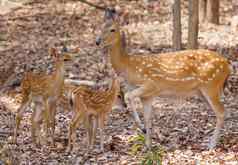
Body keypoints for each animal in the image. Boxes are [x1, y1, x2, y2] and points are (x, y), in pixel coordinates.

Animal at [96, 9, 231, 150]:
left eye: (112, 29)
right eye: (101, 27)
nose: (97, 41)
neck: (129, 66)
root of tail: (228, 66)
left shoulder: (151, 84)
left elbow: (128, 96)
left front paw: (141, 128)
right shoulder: (147, 96)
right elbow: (148, 117)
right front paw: (147, 146)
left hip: (211, 85)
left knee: (222, 112)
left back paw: (211, 145)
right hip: (202, 91)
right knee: (219, 112)